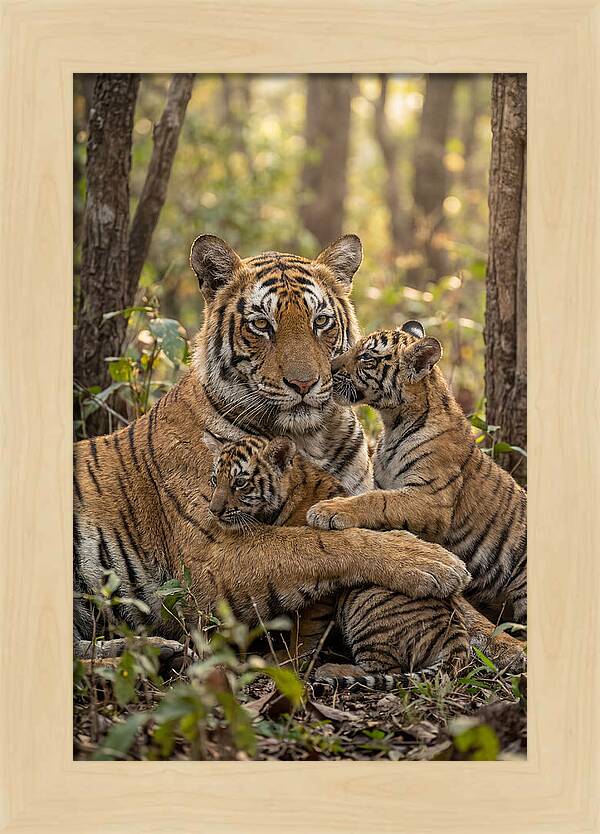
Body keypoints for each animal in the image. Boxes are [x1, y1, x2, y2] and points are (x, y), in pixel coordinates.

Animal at [203, 430, 470, 678]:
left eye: (240, 482)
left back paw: (332, 670)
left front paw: (289, 660)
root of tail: (456, 633)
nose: (214, 510)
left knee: (385, 668)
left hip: (365, 601)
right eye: (215, 480)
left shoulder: (320, 588)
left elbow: (306, 629)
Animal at [307, 321, 527, 630]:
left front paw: (328, 510)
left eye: (366, 358)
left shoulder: (432, 498)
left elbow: (378, 501)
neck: (393, 423)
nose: (329, 367)